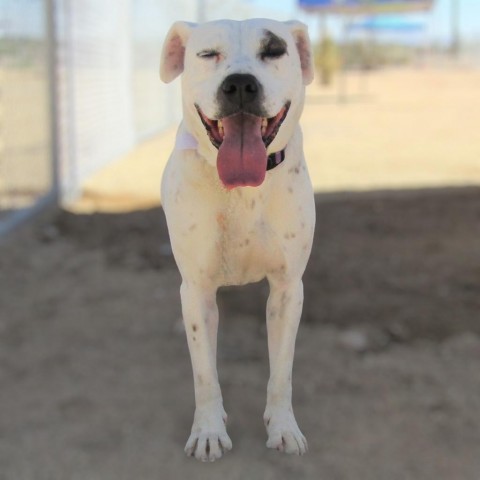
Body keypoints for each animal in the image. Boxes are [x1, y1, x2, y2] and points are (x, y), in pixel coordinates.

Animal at [158, 18, 316, 462]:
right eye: (208, 54)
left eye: (274, 51)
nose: (241, 84)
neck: (243, 189)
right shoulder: (196, 290)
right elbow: (204, 374)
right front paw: (209, 431)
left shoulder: (287, 290)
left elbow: (282, 372)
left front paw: (283, 428)